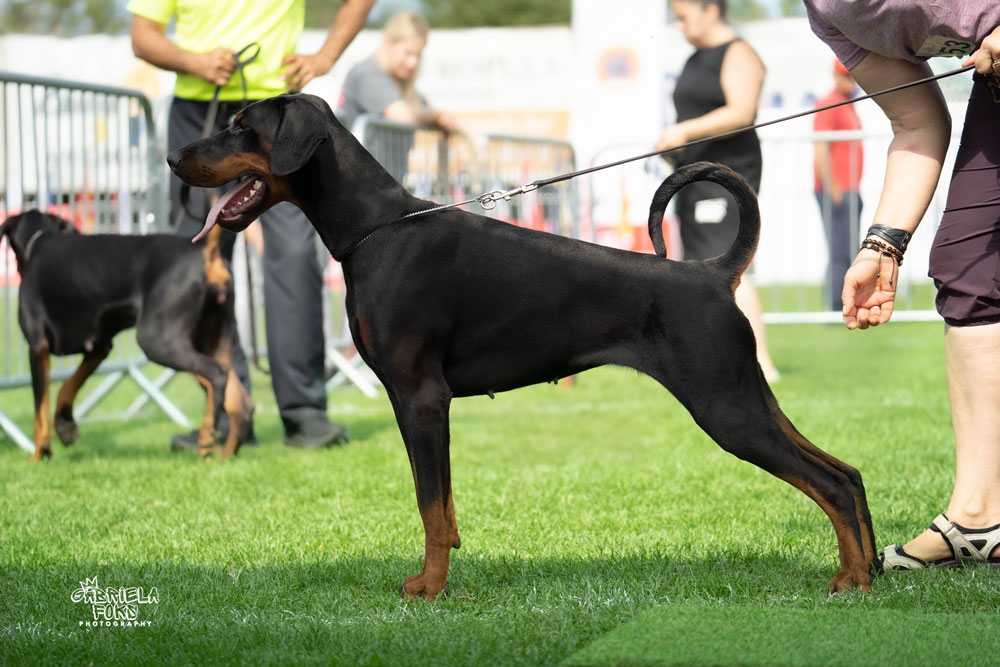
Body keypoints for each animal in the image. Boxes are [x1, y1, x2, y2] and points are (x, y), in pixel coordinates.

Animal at [0, 210, 253, 461]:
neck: (39, 241)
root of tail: (206, 251)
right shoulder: (99, 347)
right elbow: (68, 385)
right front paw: (65, 426)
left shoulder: (37, 347)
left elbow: (39, 409)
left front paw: (38, 455)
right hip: (210, 337)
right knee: (241, 403)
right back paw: (223, 457)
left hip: (158, 341)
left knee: (217, 375)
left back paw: (207, 435)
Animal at [167, 93, 878, 598]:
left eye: (241, 126)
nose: (174, 159)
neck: (377, 229)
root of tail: (710, 273)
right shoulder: (418, 404)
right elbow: (442, 503)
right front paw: (440, 571)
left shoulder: (419, 397)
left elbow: (428, 504)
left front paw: (429, 589)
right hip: (748, 396)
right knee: (846, 472)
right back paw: (872, 567)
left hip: (725, 406)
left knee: (827, 482)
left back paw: (853, 579)